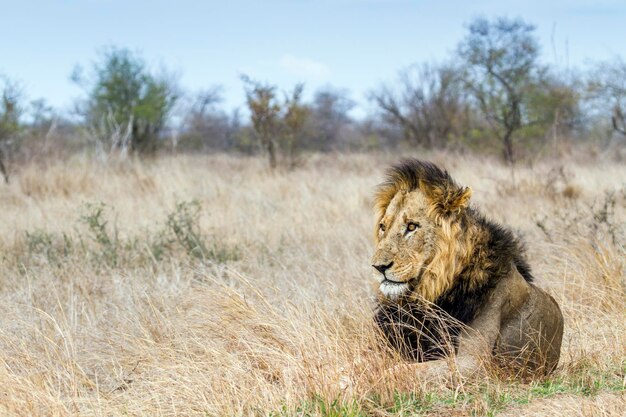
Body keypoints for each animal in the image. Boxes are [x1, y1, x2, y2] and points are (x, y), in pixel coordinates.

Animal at [368, 158, 564, 378]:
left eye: (411, 226)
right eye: (383, 227)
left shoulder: (475, 362)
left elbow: (400, 370)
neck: (425, 295)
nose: (378, 267)